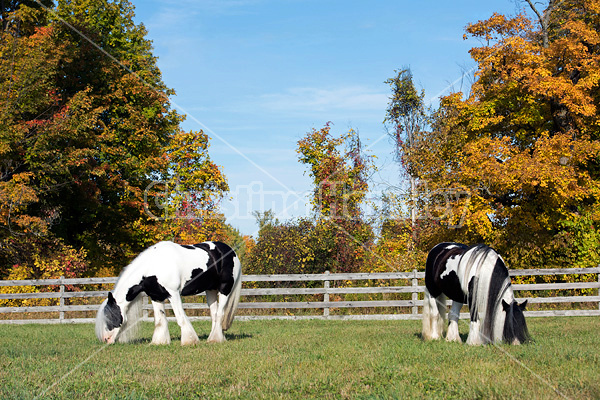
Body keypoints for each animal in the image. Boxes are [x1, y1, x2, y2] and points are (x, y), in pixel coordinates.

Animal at [96, 242, 241, 346]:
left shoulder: (173, 294)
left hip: (224, 289)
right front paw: (159, 342)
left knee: (220, 313)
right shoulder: (156, 296)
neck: (153, 266)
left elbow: (180, 317)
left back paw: (215, 339)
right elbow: (160, 320)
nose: (105, 339)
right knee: (214, 314)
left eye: (110, 316)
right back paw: (216, 338)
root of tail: (231, 251)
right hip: (210, 290)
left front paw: (189, 340)